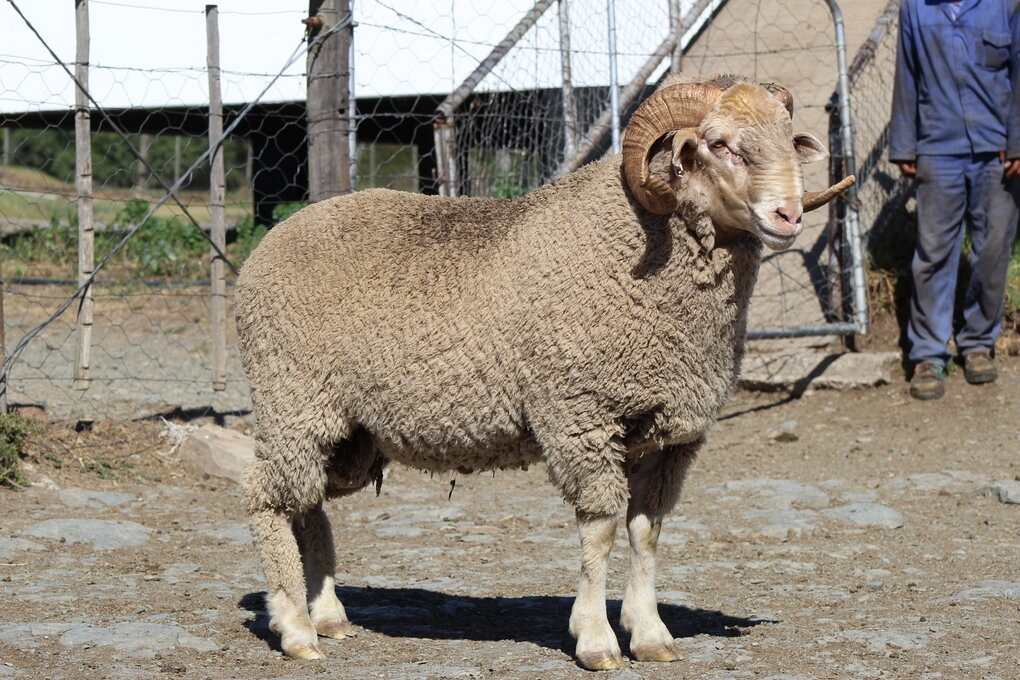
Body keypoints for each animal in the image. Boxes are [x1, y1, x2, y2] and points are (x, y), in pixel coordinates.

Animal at [234, 72, 855, 670]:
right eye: (719, 144)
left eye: (789, 137)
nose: (789, 216)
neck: (636, 247)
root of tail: (267, 245)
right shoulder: (581, 416)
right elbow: (601, 528)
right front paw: (597, 640)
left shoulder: (670, 435)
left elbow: (647, 530)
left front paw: (650, 634)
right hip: (293, 398)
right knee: (267, 498)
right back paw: (294, 629)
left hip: (348, 435)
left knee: (307, 502)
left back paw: (329, 615)